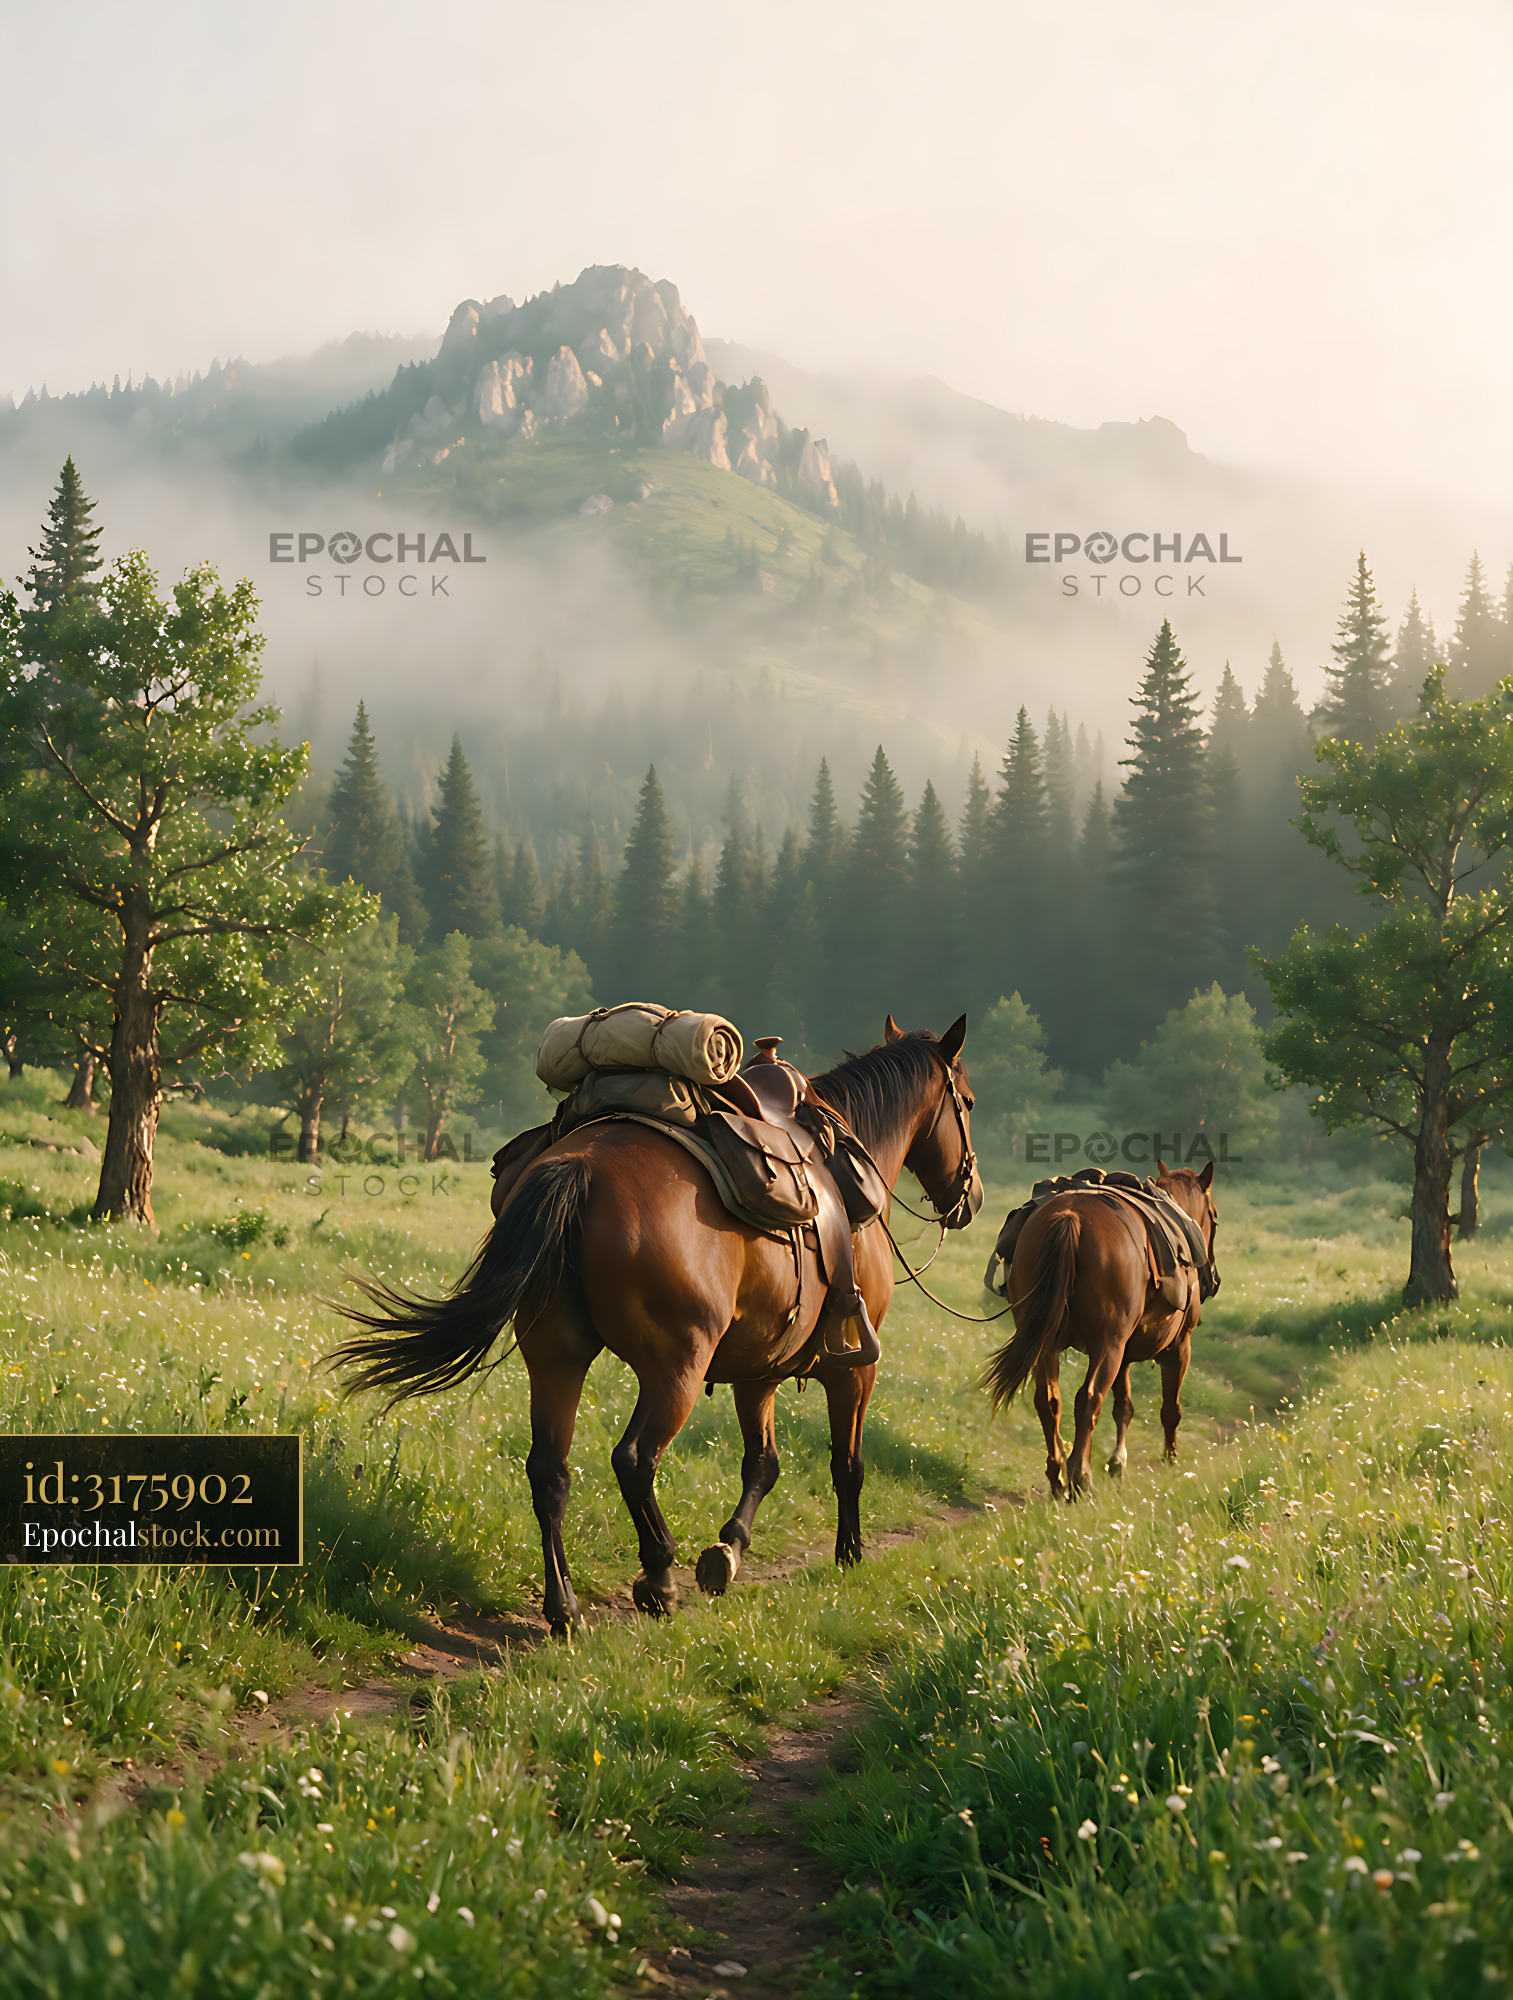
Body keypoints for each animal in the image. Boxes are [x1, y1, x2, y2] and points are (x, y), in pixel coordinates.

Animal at [330, 1016, 983, 1633]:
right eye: (969, 1103)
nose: (971, 1198)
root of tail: (579, 1164)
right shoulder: (853, 1368)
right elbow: (846, 1463)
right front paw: (849, 1553)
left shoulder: (758, 1373)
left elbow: (763, 1463)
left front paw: (728, 1551)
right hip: (676, 1367)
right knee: (634, 1459)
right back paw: (659, 1576)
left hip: (555, 1355)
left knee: (549, 1470)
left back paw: (564, 1606)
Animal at [980, 1161, 1219, 1498]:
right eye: (1214, 1218)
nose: (1213, 1280)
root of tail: (1070, 1218)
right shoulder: (1177, 1348)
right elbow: (1170, 1409)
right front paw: (1170, 1459)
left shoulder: (1124, 1356)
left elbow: (1124, 1406)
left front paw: (1117, 1462)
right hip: (1108, 1347)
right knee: (1087, 1398)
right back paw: (1080, 1477)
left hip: (1048, 1346)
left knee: (1048, 1401)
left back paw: (1057, 1475)